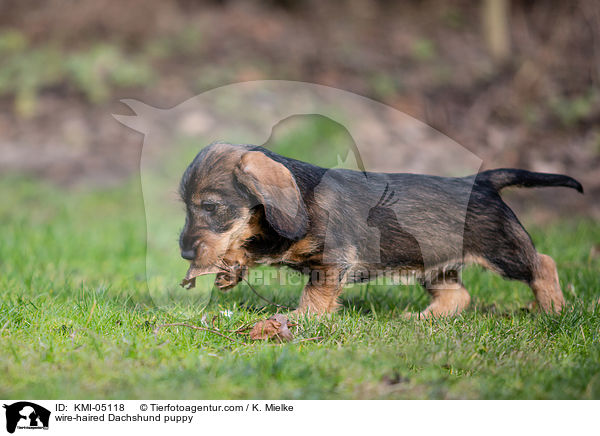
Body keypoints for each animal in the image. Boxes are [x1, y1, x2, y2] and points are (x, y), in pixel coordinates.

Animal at [178, 142, 580, 316]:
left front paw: (300, 320)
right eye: (185, 205)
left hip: (502, 251)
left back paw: (553, 310)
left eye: (210, 207)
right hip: (434, 266)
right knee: (458, 296)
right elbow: (251, 246)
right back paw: (421, 320)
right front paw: (230, 267)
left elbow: (314, 296)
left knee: (544, 264)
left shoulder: (331, 263)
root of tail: (479, 182)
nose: (184, 252)